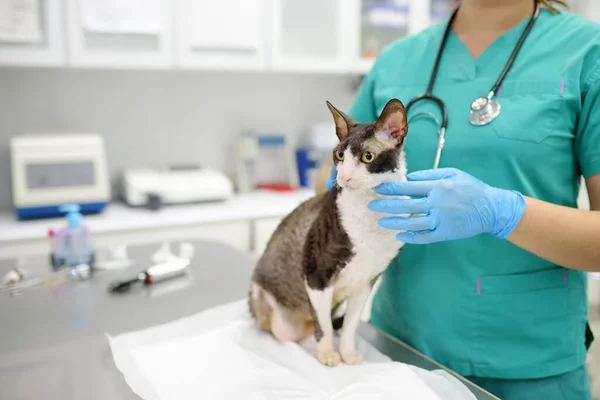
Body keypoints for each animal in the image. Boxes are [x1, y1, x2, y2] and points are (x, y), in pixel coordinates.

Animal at [247, 98, 408, 368]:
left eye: (368, 156)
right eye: (340, 155)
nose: (344, 178)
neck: (369, 214)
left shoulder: (367, 280)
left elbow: (351, 325)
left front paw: (348, 353)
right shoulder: (316, 273)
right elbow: (323, 325)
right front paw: (328, 354)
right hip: (268, 304)